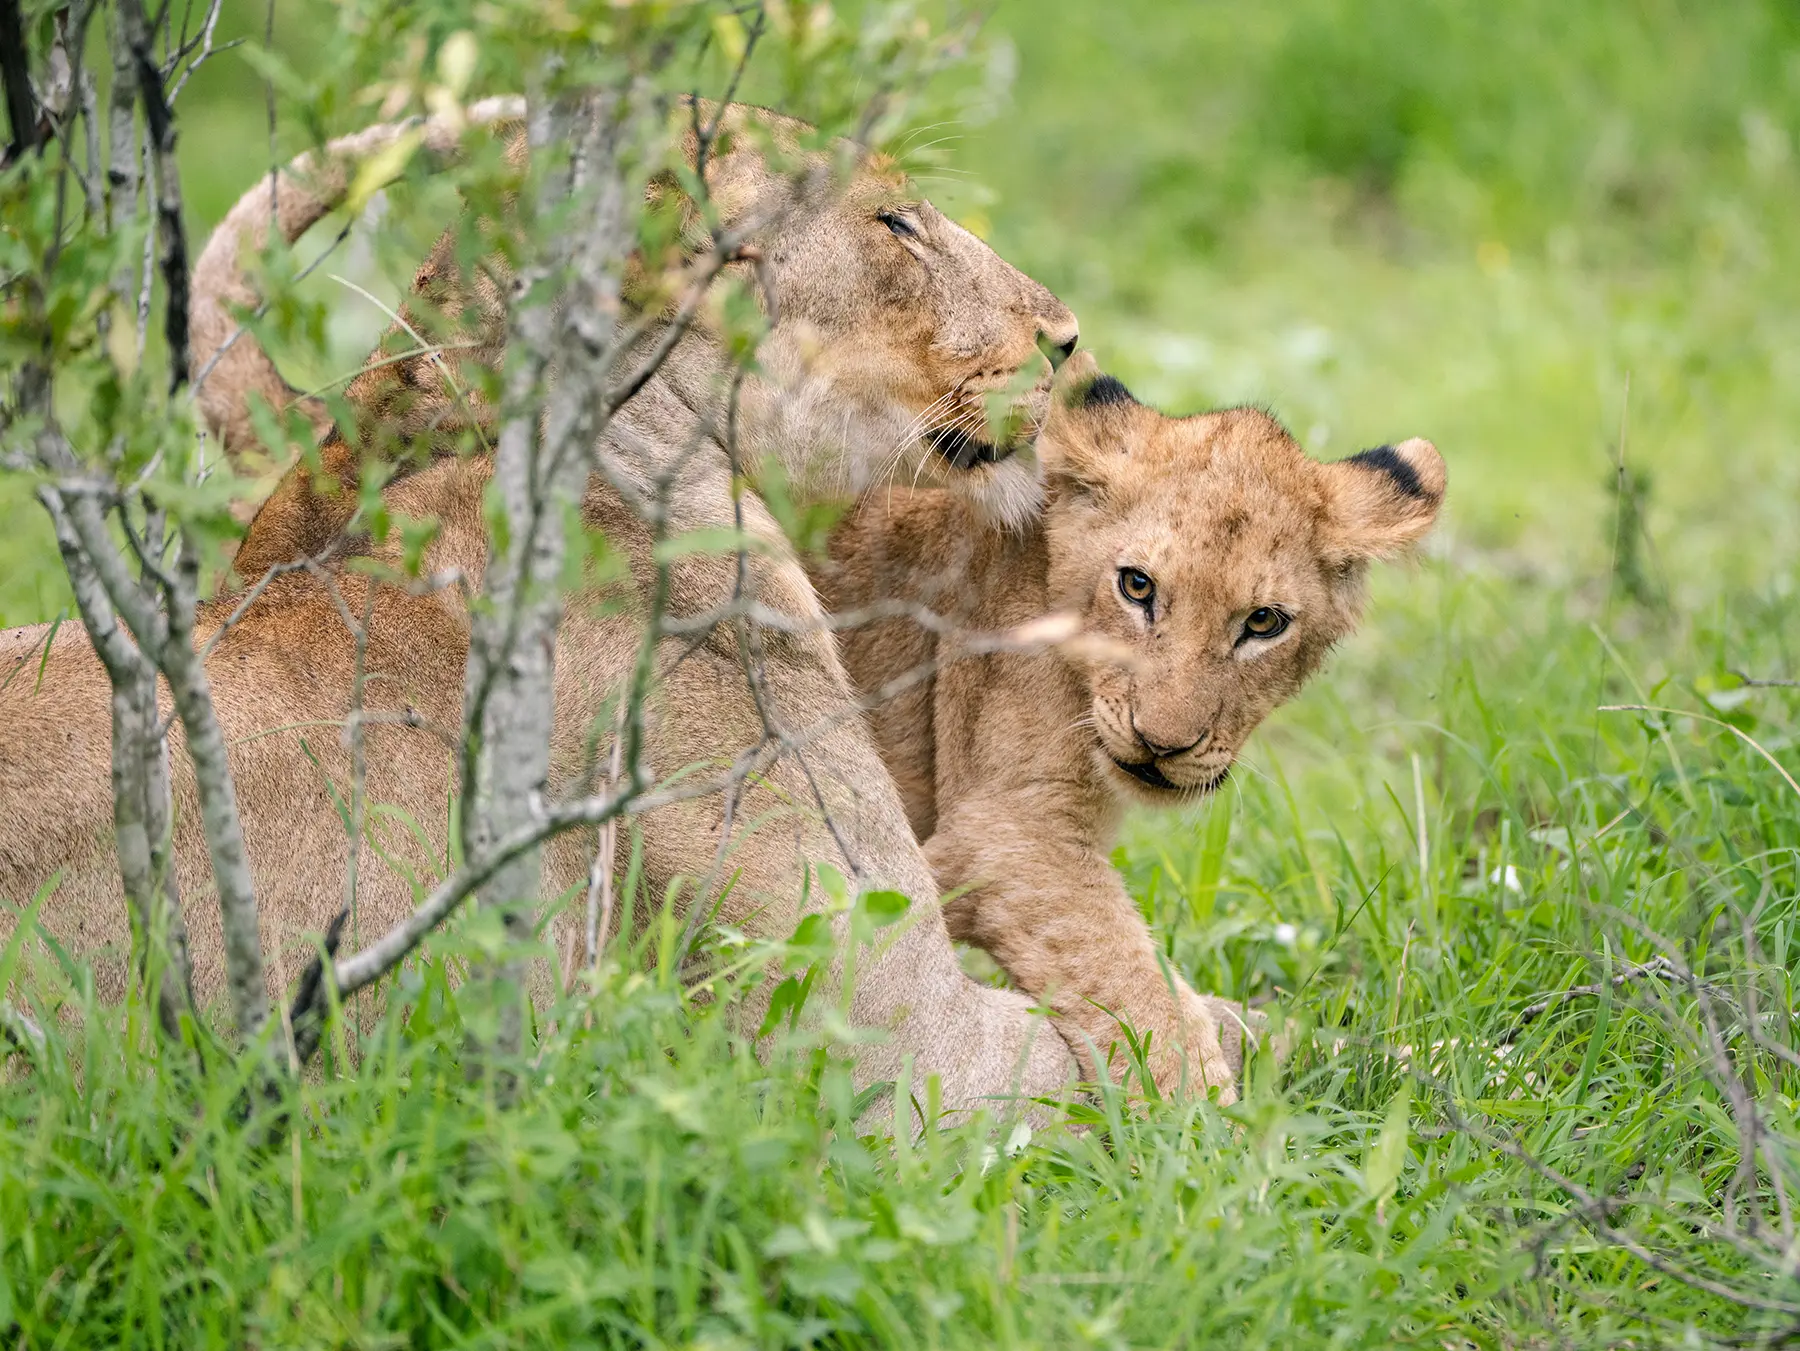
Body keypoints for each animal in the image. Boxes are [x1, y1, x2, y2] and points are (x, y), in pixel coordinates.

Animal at [814, 352, 1446, 1100]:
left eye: (1263, 622)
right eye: (1137, 586)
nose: (1162, 743)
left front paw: (1442, 1069)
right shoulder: (1007, 834)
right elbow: (1146, 1000)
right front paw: (1207, 1125)